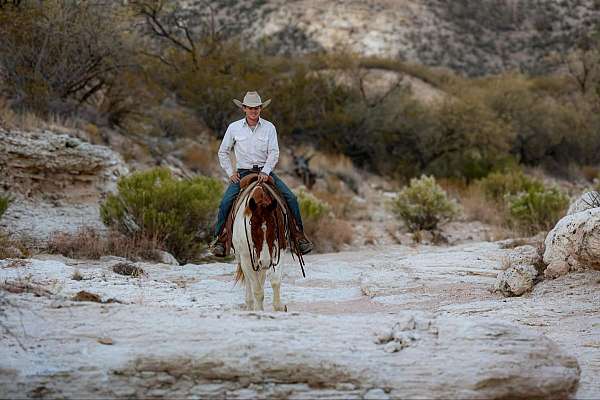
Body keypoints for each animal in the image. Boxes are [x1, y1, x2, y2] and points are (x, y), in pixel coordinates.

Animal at [232, 179, 288, 312]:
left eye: (275, 228)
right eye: (252, 229)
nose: (266, 261)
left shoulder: (280, 250)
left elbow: (275, 280)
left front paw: (279, 306)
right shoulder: (246, 258)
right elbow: (257, 289)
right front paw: (258, 310)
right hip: (244, 259)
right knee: (249, 281)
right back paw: (250, 304)